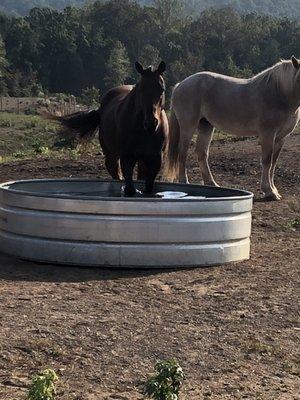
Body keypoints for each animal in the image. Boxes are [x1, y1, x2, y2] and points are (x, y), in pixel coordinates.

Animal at [54, 60, 169, 195]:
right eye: (141, 89)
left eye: (162, 89)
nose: (151, 123)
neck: (143, 131)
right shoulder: (127, 158)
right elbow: (130, 189)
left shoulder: (155, 160)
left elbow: (148, 188)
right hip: (111, 157)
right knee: (116, 177)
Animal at [166, 56, 300, 200]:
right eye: (299, 79)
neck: (279, 93)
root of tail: (180, 85)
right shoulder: (267, 134)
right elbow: (267, 161)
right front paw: (269, 191)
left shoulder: (281, 137)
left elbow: (273, 162)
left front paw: (274, 190)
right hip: (188, 126)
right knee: (183, 152)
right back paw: (184, 182)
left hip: (206, 126)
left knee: (202, 153)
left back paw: (211, 183)